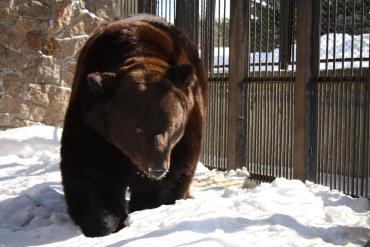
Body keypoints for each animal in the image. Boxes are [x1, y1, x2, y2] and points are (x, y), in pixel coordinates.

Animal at [59, 13, 207, 237]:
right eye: (136, 129)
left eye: (172, 126)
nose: (157, 167)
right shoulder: (93, 125)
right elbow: (90, 174)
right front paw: (105, 224)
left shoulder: (188, 124)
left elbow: (176, 173)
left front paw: (148, 206)